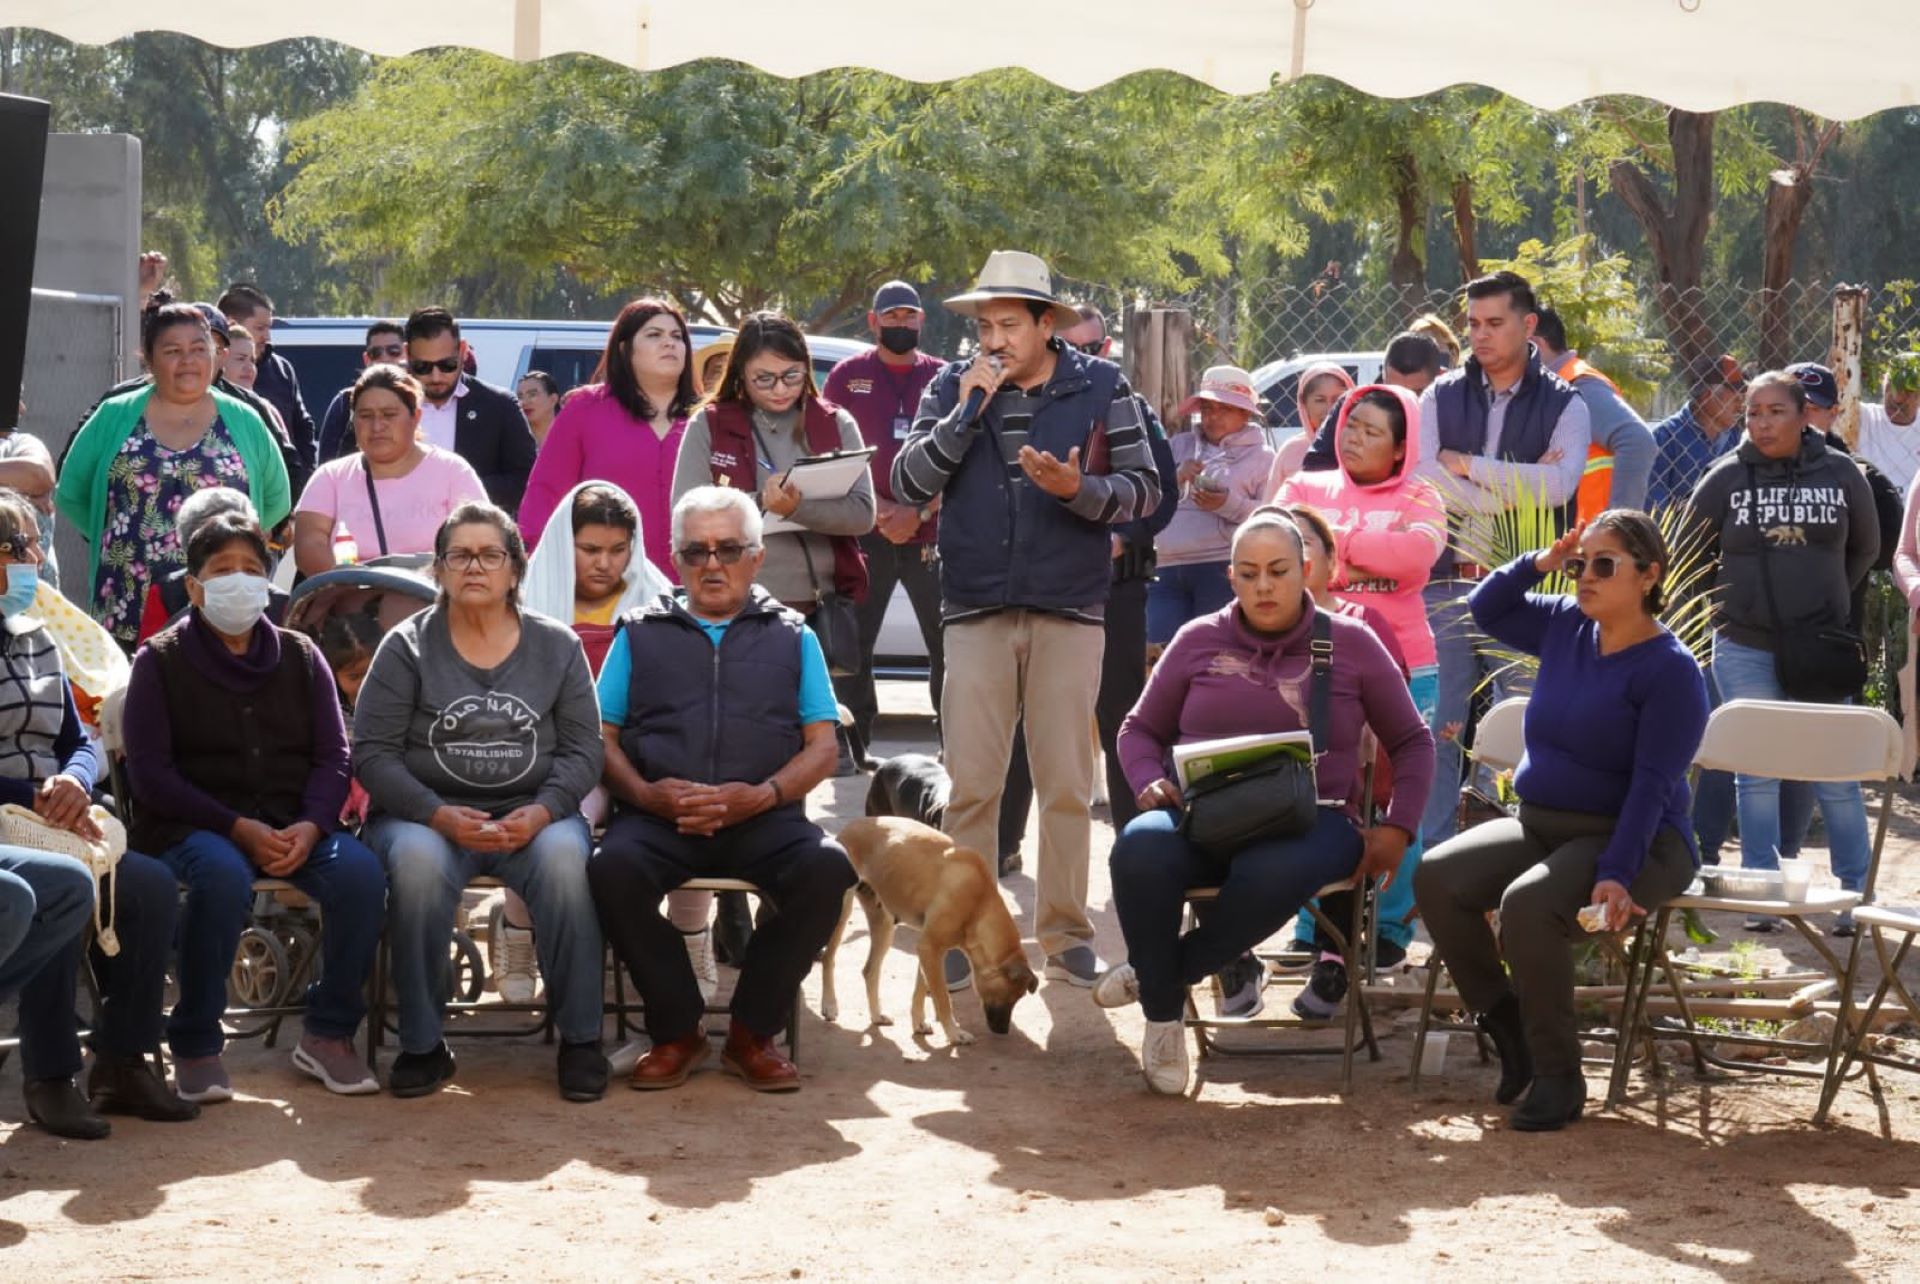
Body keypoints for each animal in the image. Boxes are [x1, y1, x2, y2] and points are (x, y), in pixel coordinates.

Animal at [821, 821, 1036, 1044]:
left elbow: (920, 990)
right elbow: (942, 998)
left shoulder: (929, 951)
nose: (1003, 1031)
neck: (979, 903)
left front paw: (919, 1023)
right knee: (828, 958)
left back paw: (877, 1015)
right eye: (1011, 996)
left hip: (884, 923)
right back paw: (829, 1005)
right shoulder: (930, 948)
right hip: (842, 913)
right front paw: (954, 1033)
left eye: (1019, 998)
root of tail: (848, 828)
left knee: (870, 970)